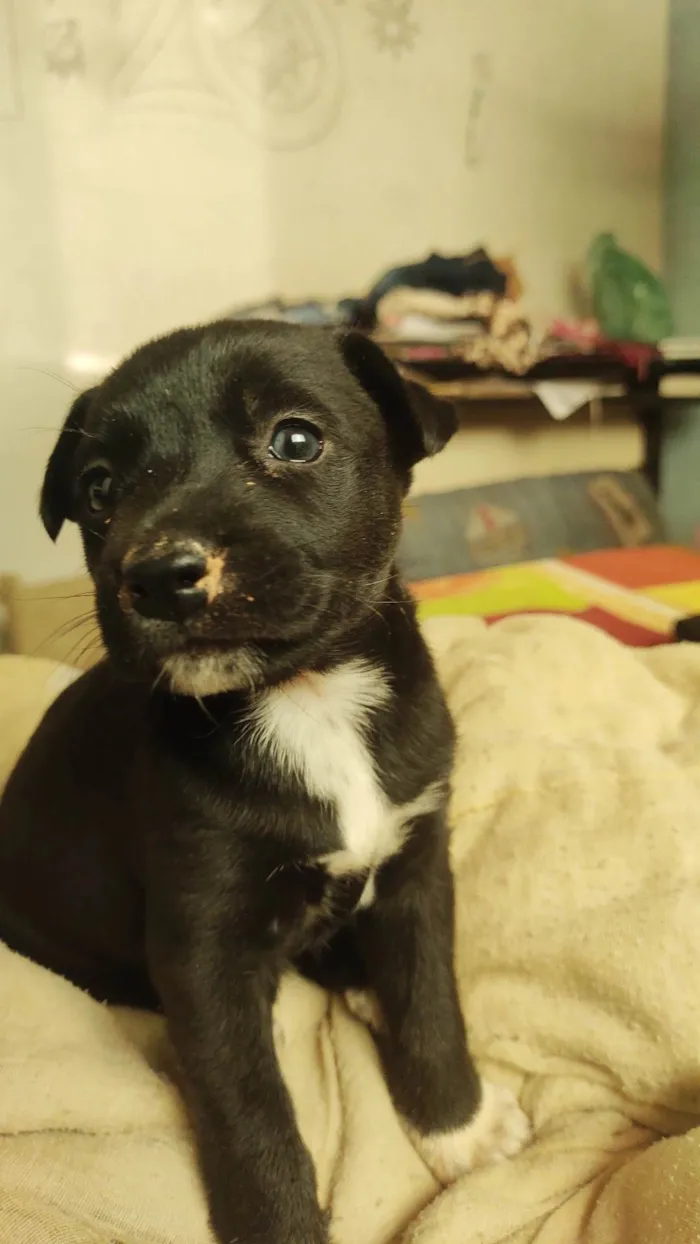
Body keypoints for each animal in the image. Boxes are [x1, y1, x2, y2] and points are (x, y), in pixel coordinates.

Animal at [0, 323, 529, 1244]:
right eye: (99, 488)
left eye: (296, 440)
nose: (160, 575)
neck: (306, 698)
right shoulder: (201, 945)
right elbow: (250, 1113)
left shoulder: (417, 870)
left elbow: (432, 1006)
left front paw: (456, 1126)